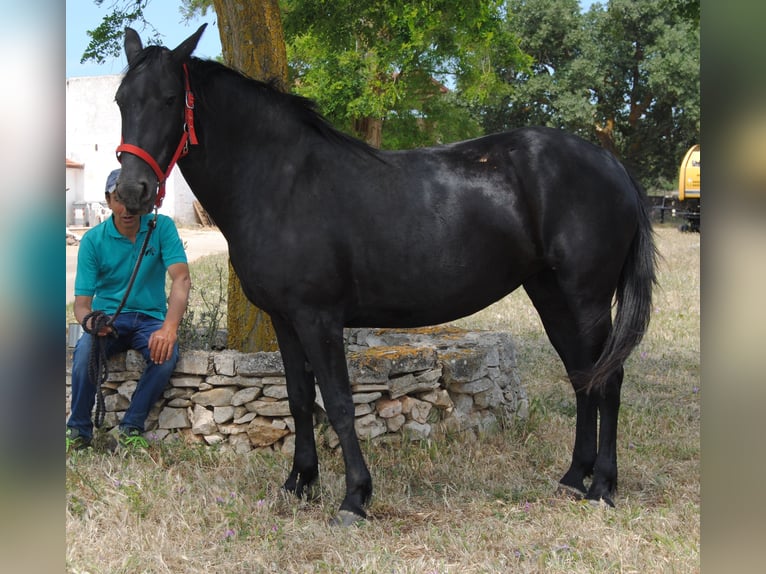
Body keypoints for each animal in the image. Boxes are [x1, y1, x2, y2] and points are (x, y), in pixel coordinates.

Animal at [113, 25, 656, 526]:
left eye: (169, 99)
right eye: (121, 100)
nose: (131, 192)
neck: (281, 181)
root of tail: (610, 163)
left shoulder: (318, 317)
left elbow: (336, 401)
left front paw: (354, 497)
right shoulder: (285, 320)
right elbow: (297, 399)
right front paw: (298, 483)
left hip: (586, 298)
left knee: (608, 378)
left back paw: (602, 486)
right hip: (551, 295)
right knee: (583, 375)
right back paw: (573, 477)